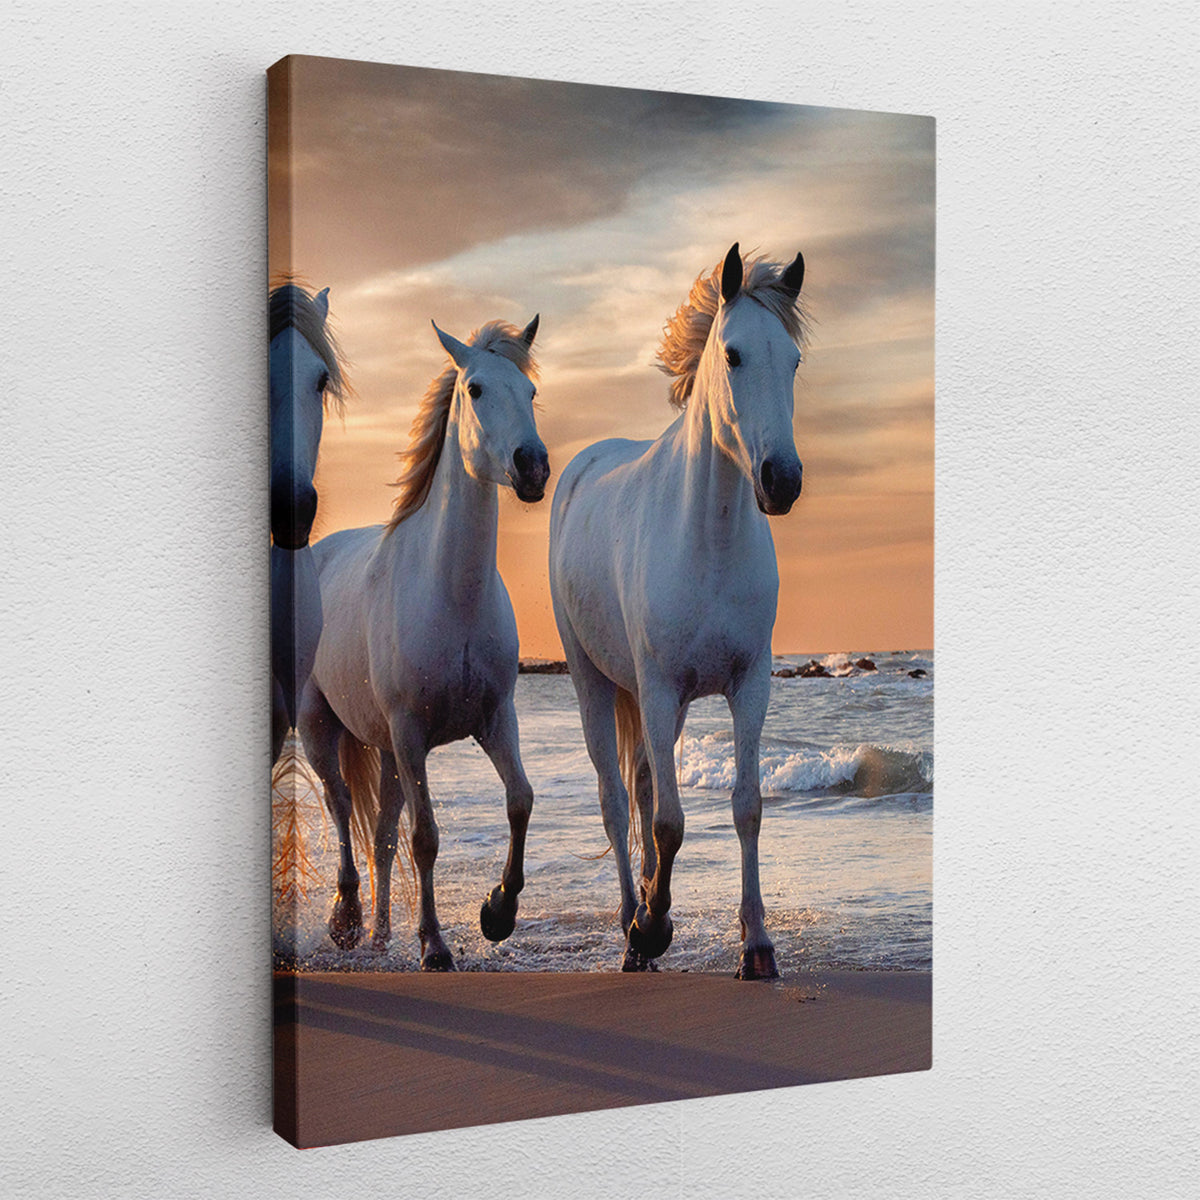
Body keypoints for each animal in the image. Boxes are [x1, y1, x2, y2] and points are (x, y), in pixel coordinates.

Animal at [298, 315, 549, 969]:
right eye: (476, 390)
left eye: (531, 391)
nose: (533, 466)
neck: (450, 594)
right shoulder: (411, 732)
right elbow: (426, 837)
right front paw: (435, 945)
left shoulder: (495, 718)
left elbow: (520, 800)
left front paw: (497, 912)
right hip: (320, 727)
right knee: (342, 808)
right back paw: (347, 920)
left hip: (386, 751)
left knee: (381, 834)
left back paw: (383, 934)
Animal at [549, 244, 807, 979]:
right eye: (734, 354)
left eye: (794, 360)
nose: (782, 481)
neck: (709, 542)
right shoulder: (660, 688)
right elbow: (668, 822)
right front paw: (652, 925)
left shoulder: (748, 685)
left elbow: (746, 807)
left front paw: (757, 945)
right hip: (594, 681)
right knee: (615, 800)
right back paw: (630, 928)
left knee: (639, 788)